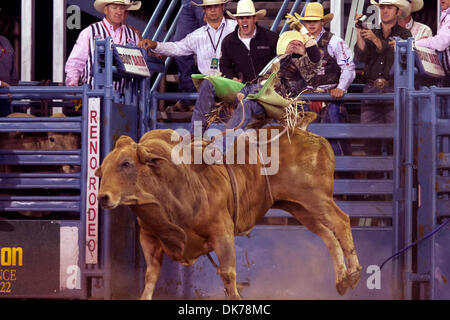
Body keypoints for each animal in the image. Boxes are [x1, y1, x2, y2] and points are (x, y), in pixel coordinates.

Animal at [96, 126, 364, 298]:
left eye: (126, 163)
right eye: (103, 168)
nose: (102, 197)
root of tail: (318, 139)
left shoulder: (222, 232)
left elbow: (227, 274)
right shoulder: (149, 238)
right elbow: (151, 277)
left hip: (316, 198)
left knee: (341, 222)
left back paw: (354, 274)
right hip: (299, 207)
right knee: (327, 235)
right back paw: (341, 280)